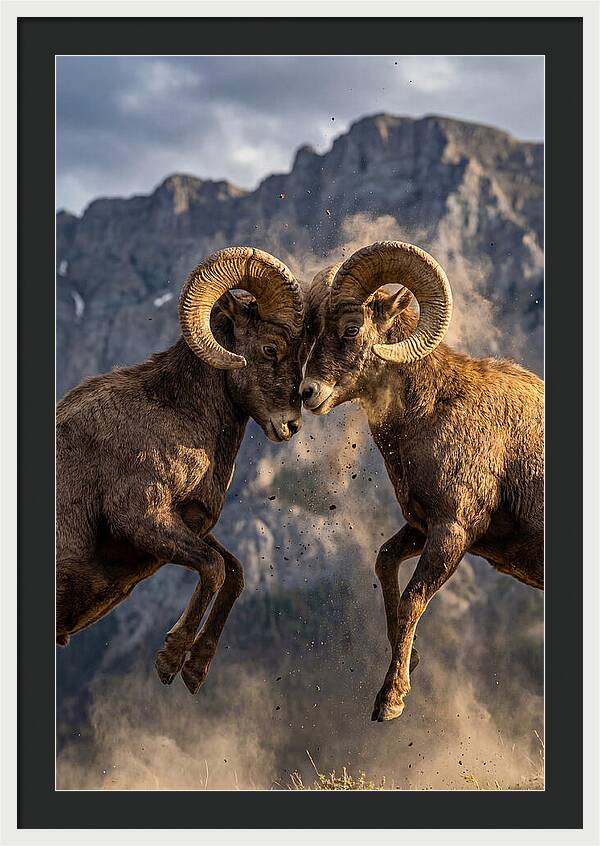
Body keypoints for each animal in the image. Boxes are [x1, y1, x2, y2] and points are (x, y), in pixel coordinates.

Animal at [57, 246, 306, 693]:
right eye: (270, 348)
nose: (291, 425)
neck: (177, 414)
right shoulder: (142, 519)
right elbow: (214, 568)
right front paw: (170, 660)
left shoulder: (189, 525)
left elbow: (234, 572)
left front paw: (195, 670)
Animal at [300, 241, 543, 721]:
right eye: (313, 329)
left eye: (352, 328)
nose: (307, 393)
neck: (432, 410)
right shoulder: (420, 527)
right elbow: (384, 563)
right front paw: (409, 660)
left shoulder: (453, 531)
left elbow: (414, 598)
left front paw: (390, 701)